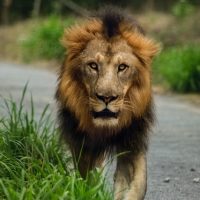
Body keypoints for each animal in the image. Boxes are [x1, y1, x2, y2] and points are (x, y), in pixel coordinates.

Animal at [55, 6, 160, 200]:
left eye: (122, 67)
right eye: (93, 66)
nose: (106, 97)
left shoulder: (133, 139)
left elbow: (138, 183)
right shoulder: (82, 144)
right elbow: (88, 177)